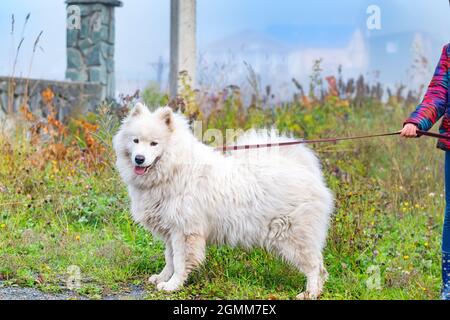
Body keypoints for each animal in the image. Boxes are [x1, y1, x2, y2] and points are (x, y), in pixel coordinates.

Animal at [112, 104, 334, 298]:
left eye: (154, 143)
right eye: (135, 141)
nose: (139, 159)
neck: (174, 170)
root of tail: (302, 169)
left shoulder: (185, 232)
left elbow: (181, 262)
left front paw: (173, 285)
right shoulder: (170, 231)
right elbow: (170, 259)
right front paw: (162, 278)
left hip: (294, 238)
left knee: (315, 267)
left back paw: (310, 293)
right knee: (321, 267)